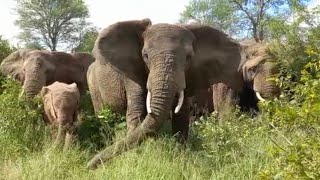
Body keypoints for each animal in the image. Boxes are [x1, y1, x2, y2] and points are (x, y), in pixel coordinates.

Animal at [86, 18, 276, 169]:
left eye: (189, 57)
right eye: (145, 56)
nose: (89, 165)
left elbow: (181, 115)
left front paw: (181, 158)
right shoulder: (132, 73)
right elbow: (137, 113)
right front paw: (136, 157)